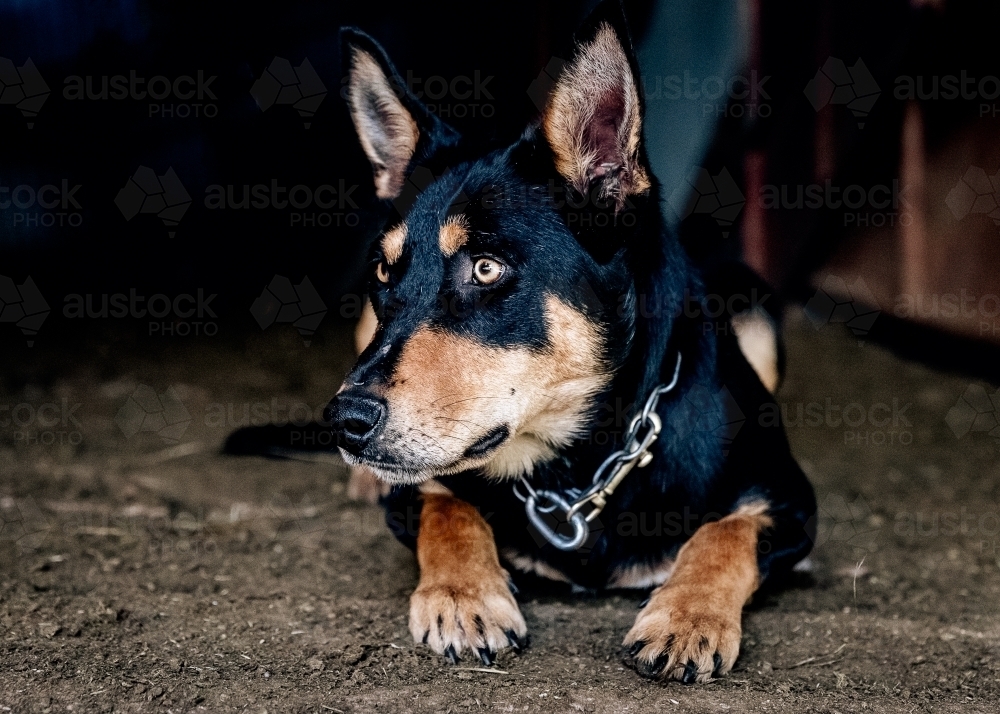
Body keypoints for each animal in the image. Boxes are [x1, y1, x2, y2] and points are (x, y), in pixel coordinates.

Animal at [324, 1, 816, 684]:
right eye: (382, 271)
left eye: (486, 269)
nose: (343, 421)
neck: (581, 459)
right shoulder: (417, 489)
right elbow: (447, 510)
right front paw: (464, 597)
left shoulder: (790, 500)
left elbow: (726, 534)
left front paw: (687, 618)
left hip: (754, 305)